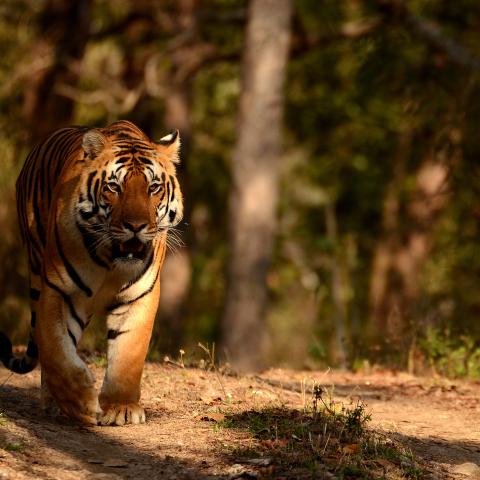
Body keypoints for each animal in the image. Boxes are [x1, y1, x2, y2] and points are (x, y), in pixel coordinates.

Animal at [0, 120, 183, 424]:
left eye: (153, 187)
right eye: (114, 187)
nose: (136, 226)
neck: (112, 262)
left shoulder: (140, 296)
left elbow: (129, 353)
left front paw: (121, 408)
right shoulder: (59, 290)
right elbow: (57, 352)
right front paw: (80, 403)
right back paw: (54, 402)